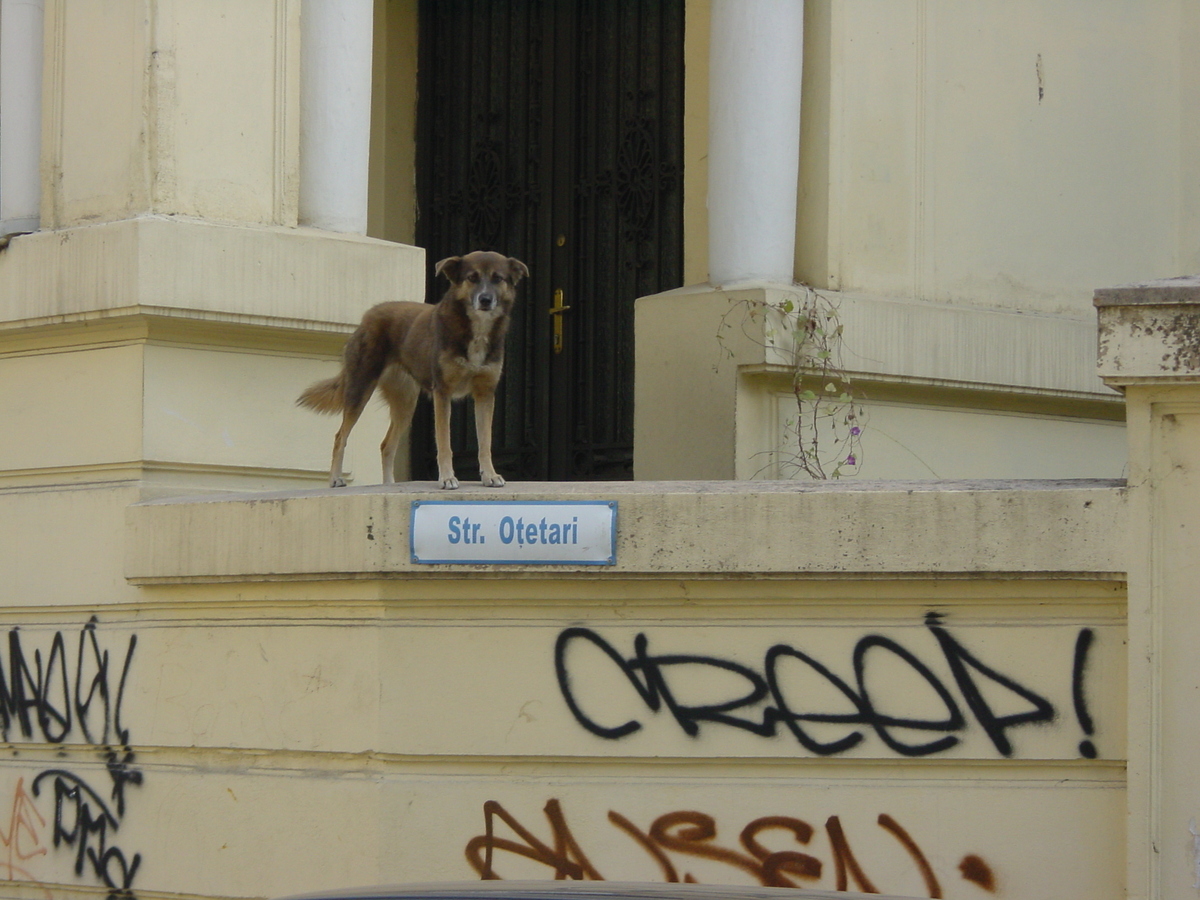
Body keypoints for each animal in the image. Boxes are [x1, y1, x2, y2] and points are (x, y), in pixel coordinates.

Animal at [297, 254, 528, 489]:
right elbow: (444, 443)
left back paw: (389, 485)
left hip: (405, 404)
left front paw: (489, 475)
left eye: (498, 278)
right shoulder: (442, 393)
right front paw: (447, 477)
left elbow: (485, 442)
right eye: (472, 277)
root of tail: (367, 316)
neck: (477, 329)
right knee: (340, 437)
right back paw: (335, 478)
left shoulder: (485, 394)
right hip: (359, 390)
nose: (485, 299)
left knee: (386, 445)